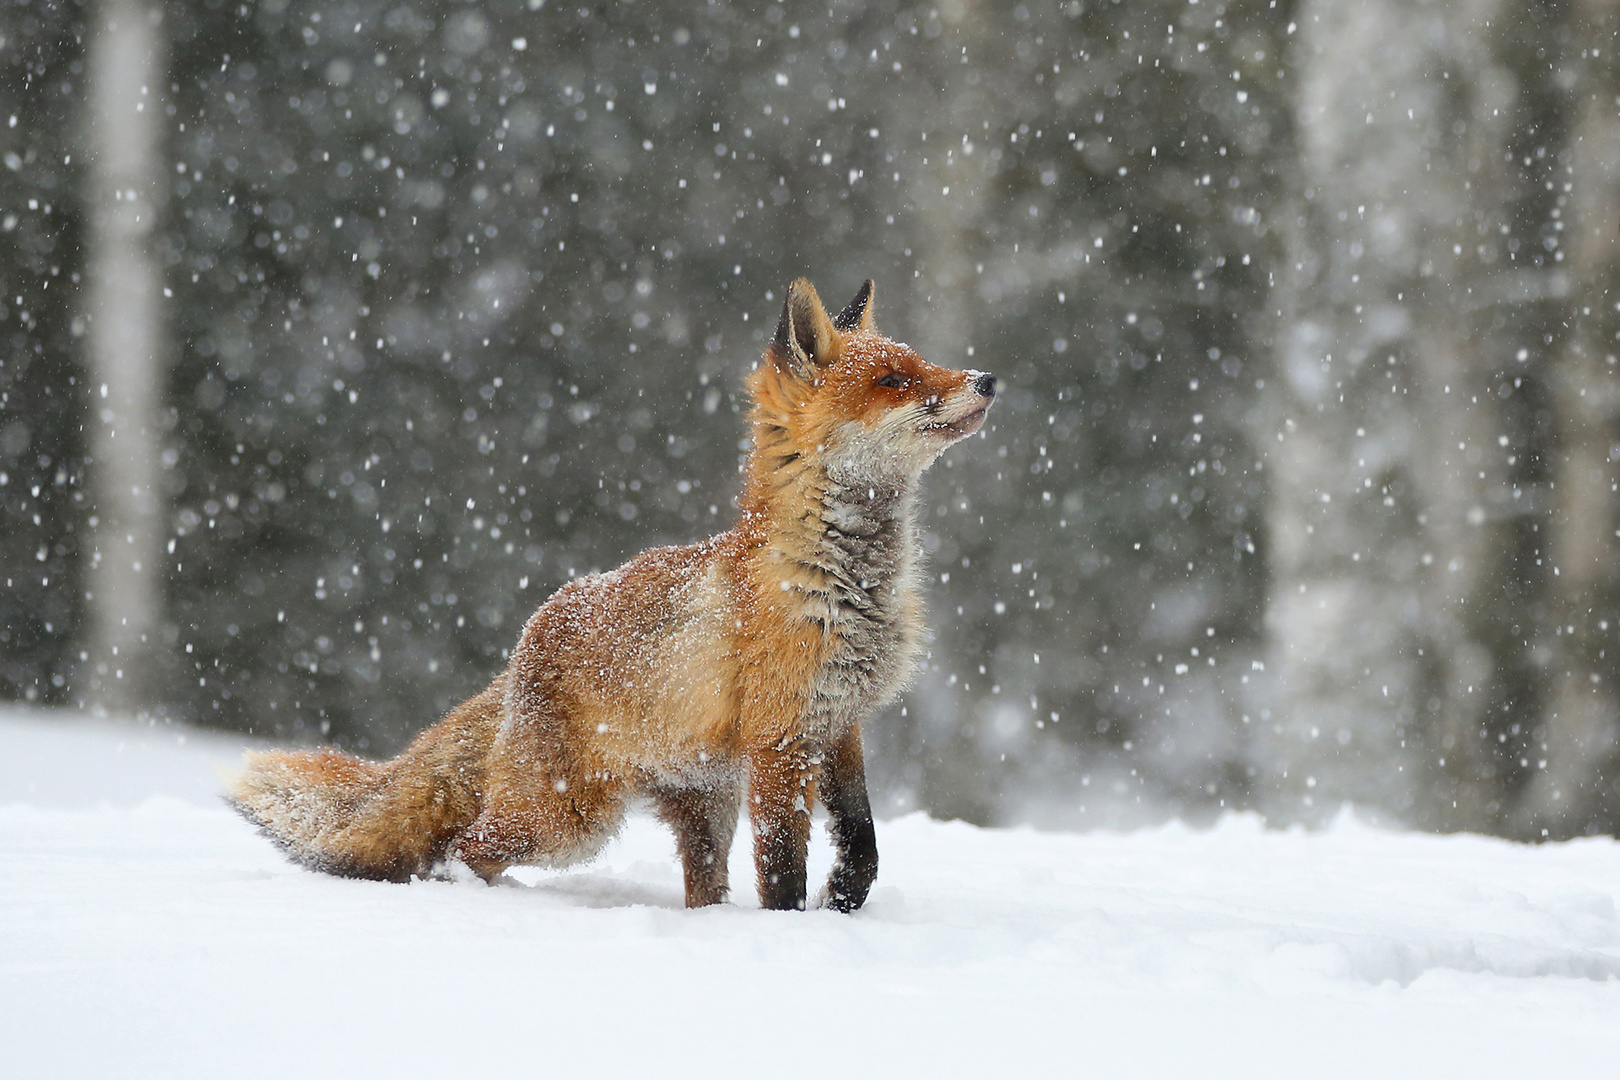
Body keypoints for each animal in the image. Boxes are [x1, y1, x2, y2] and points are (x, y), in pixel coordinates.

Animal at [225, 278, 984, 913]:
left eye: (922, 363)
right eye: (893, 380)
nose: (988, 379)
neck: (843, 583)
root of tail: (526, 643)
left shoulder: (840, 721)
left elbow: (863, 842)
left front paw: (842, 902)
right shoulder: (781, 737)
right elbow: (781, 866)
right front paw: (792, 928)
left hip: (703, 800)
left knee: (701, 885)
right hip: (566, 820)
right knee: (461, 849)